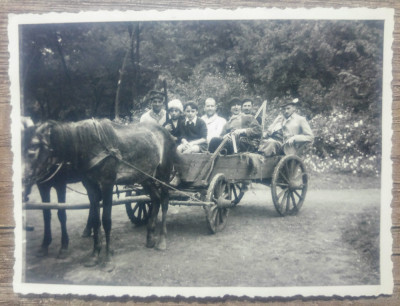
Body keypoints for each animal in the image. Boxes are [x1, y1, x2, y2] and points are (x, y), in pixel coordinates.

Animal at [23, 119, 175, 270]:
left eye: (35, 145)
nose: (23, 179)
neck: (89, 145)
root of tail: (165, 132)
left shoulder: (106, 185)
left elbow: (106, 220)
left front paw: (108, 259)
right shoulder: (91, 187)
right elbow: (96, 220)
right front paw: (94, 255)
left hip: (163, 174)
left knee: (164, 201)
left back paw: (162, 240)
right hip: (145, 177)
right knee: (155, 199)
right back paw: (150, 237)